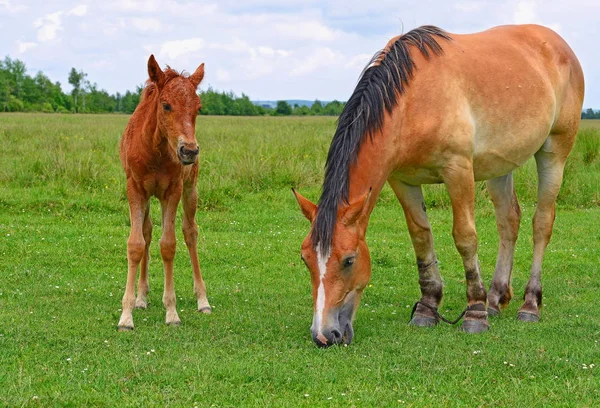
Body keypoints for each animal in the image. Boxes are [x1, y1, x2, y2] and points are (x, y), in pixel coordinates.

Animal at [117, 55, 211, 332]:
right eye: (166, 105)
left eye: (198, 107)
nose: (189, 151)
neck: (155, 150)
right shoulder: (135, 189)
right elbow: (136, 244)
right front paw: (126, 315)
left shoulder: (173, 190)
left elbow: (168, 245)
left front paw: (171, 312)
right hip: (149, 196)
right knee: (147, 232)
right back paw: (141, 296)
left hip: (190, 189)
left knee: (190, 232)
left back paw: (203, 299)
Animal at [292, 23, 584, 346]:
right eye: (306, 259)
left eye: (349, 260)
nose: (324, 335)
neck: (413, 100)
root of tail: (558, 45)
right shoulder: (402, 180)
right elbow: (421, 238)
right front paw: (427, 309)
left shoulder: (458, 171)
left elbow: (465, 238)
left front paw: (475, 313)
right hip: (500, 165)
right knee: (509, 221)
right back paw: (495, 299)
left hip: (554, 152)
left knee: (541, 223)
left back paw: (529, 304)